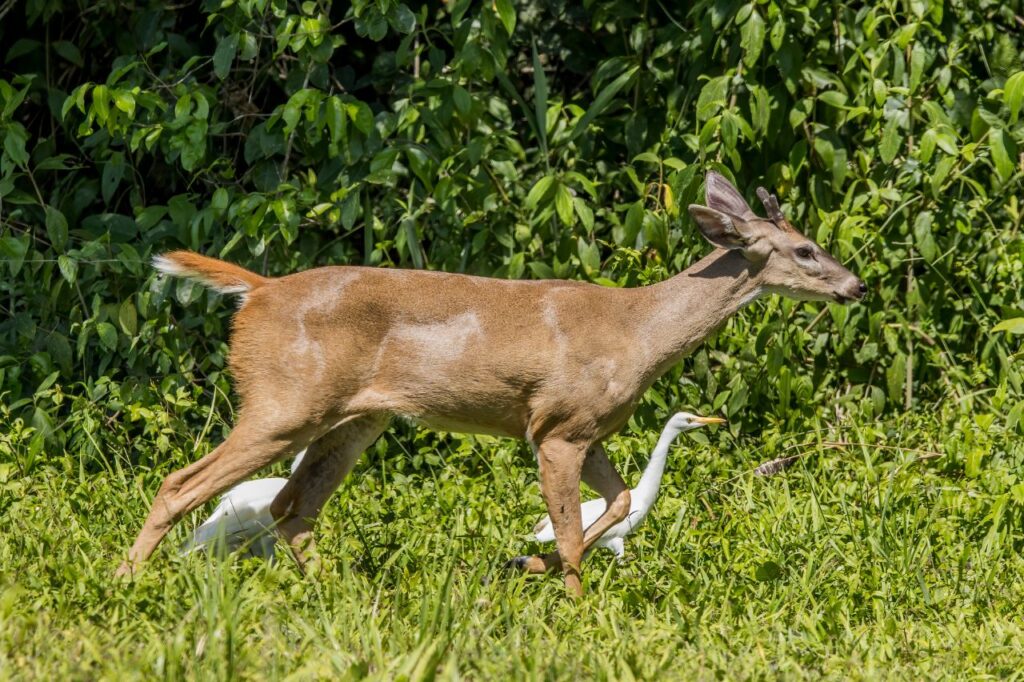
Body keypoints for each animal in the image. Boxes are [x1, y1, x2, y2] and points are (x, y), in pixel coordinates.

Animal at [116, 171, 866, 596]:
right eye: (803, 249)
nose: (856, 285)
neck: (638, 331)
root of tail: (258, 292)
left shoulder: (589, 429)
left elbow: (620, 502)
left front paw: (521, 566)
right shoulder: (555, 425)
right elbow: (572, 531)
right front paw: (574, 606)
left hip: (354, 418)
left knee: (291, 508)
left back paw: (342, 599)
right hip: (283, 399)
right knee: (183, 483)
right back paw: (123, 584)